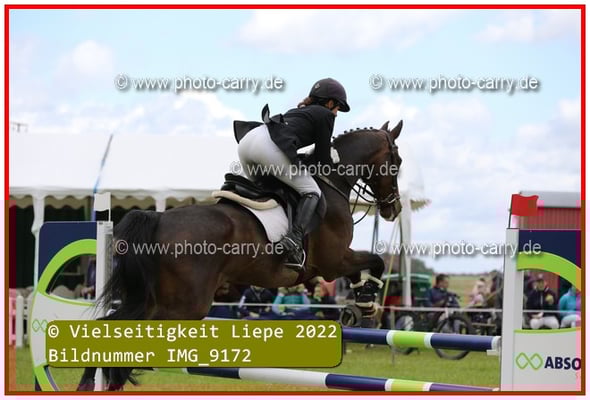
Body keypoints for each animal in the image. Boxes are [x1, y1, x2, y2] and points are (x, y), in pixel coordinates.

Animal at [78, 120, 404, 391]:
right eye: (397, 162)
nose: (394, 209)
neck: (332, 181)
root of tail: (158, 219)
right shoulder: (333, 262)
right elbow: (374, 261)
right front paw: (366, 302)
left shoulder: (333, 264)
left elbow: (364, 267)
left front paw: (360, 304)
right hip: (185, 306)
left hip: (155, 298)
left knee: (111, 324)